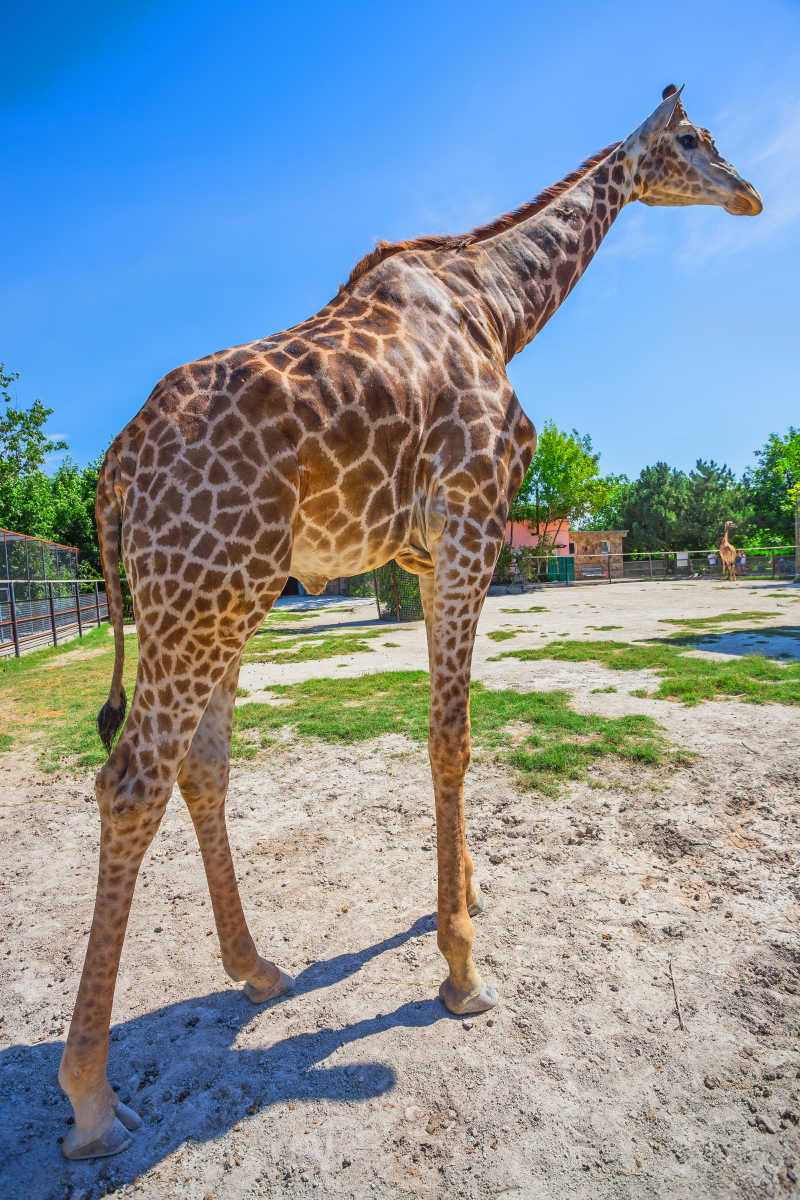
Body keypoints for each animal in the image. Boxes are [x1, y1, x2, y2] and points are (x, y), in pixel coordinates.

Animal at [57, 84, 762, 1152]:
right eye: (691, 140)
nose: (750, 194)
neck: (501, 309)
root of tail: (115, 468)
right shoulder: (472, 522)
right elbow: (451, 737)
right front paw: (464, 973)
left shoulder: (433, 553)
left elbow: (449, 728)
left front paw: (465, 896)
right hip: (201, 590)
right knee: (131, 780)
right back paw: (93, 1096)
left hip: (225, 597)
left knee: (201, 765)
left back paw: (259, 970)